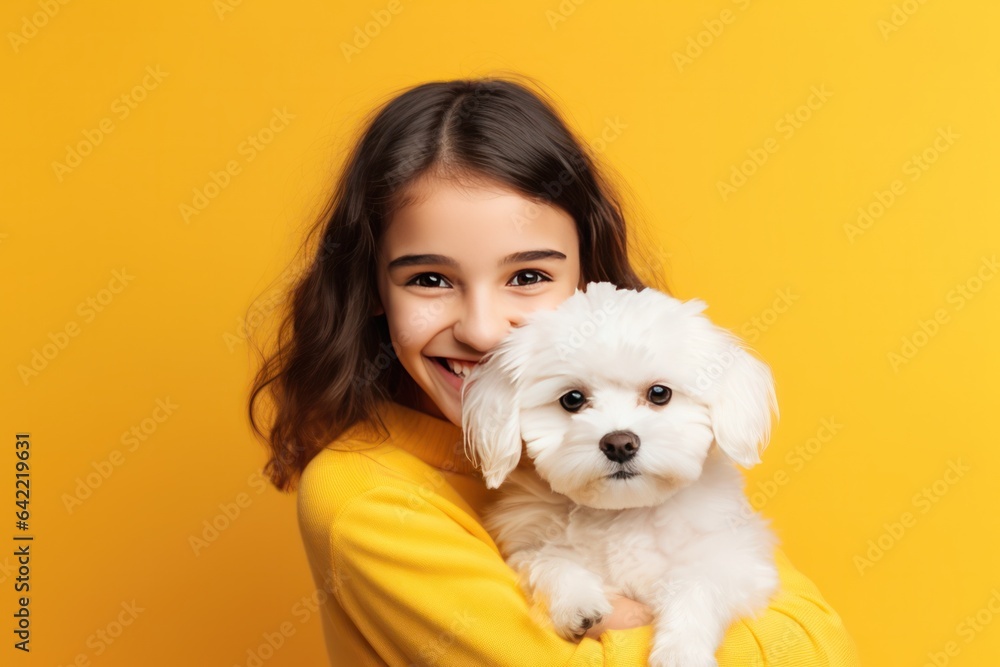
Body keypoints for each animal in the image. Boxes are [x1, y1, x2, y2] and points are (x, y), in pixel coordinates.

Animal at [460, 282, 780, 667]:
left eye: (659, 393)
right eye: (572, 399)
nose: (619, 443)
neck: (624, 513)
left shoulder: (737, 560)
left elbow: (697, 585)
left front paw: (680, 650)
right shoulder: (524, 547)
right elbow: (550, 561)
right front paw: (575, 601)